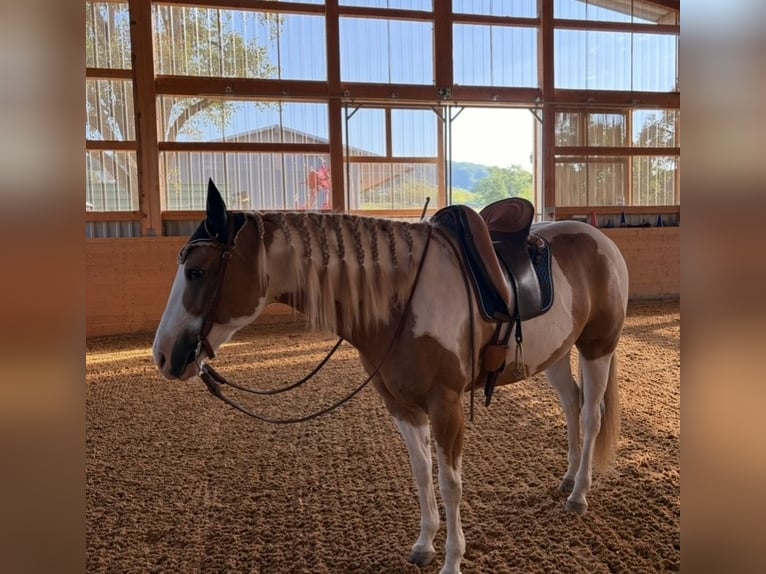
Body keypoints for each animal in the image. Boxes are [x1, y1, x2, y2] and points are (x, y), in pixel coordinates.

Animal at [153, 179, 629, 574]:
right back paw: (568, 478)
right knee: (571, 405)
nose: (164, 355)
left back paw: (579, 494)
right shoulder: (399, 403)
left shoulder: (446, 405)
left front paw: (452, 561)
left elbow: (450, 483)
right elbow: (421, 473)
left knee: (591, 415)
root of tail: (601, 240)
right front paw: (424, 545)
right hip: (556, 354)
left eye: (196, 271)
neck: (403, 299)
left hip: (596, 348)